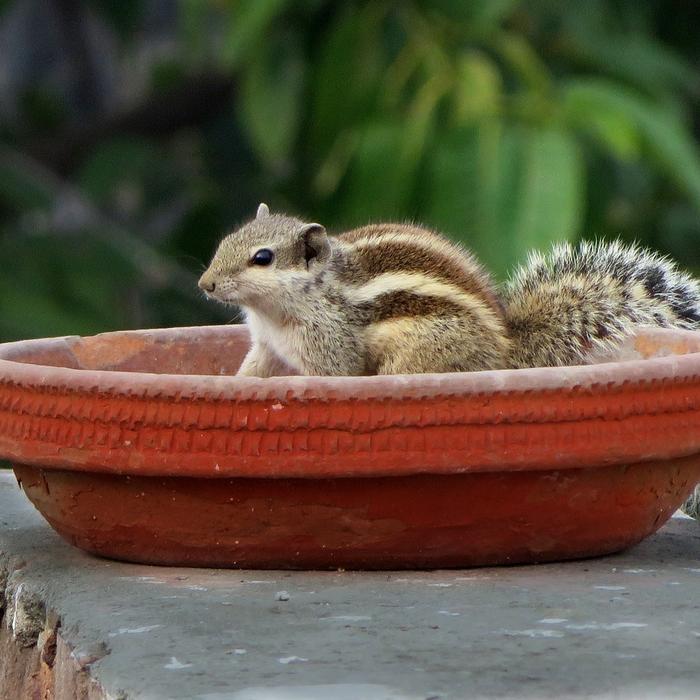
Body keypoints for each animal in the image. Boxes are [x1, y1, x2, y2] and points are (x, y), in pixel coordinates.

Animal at [198, 202, 700, 378]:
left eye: (262, 257)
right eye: (228, 239)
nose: (205, 283)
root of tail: (507, 349)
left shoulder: (330, 346)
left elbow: (336, 378)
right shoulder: (267, 345)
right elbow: (253, 372)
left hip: (420, 352)